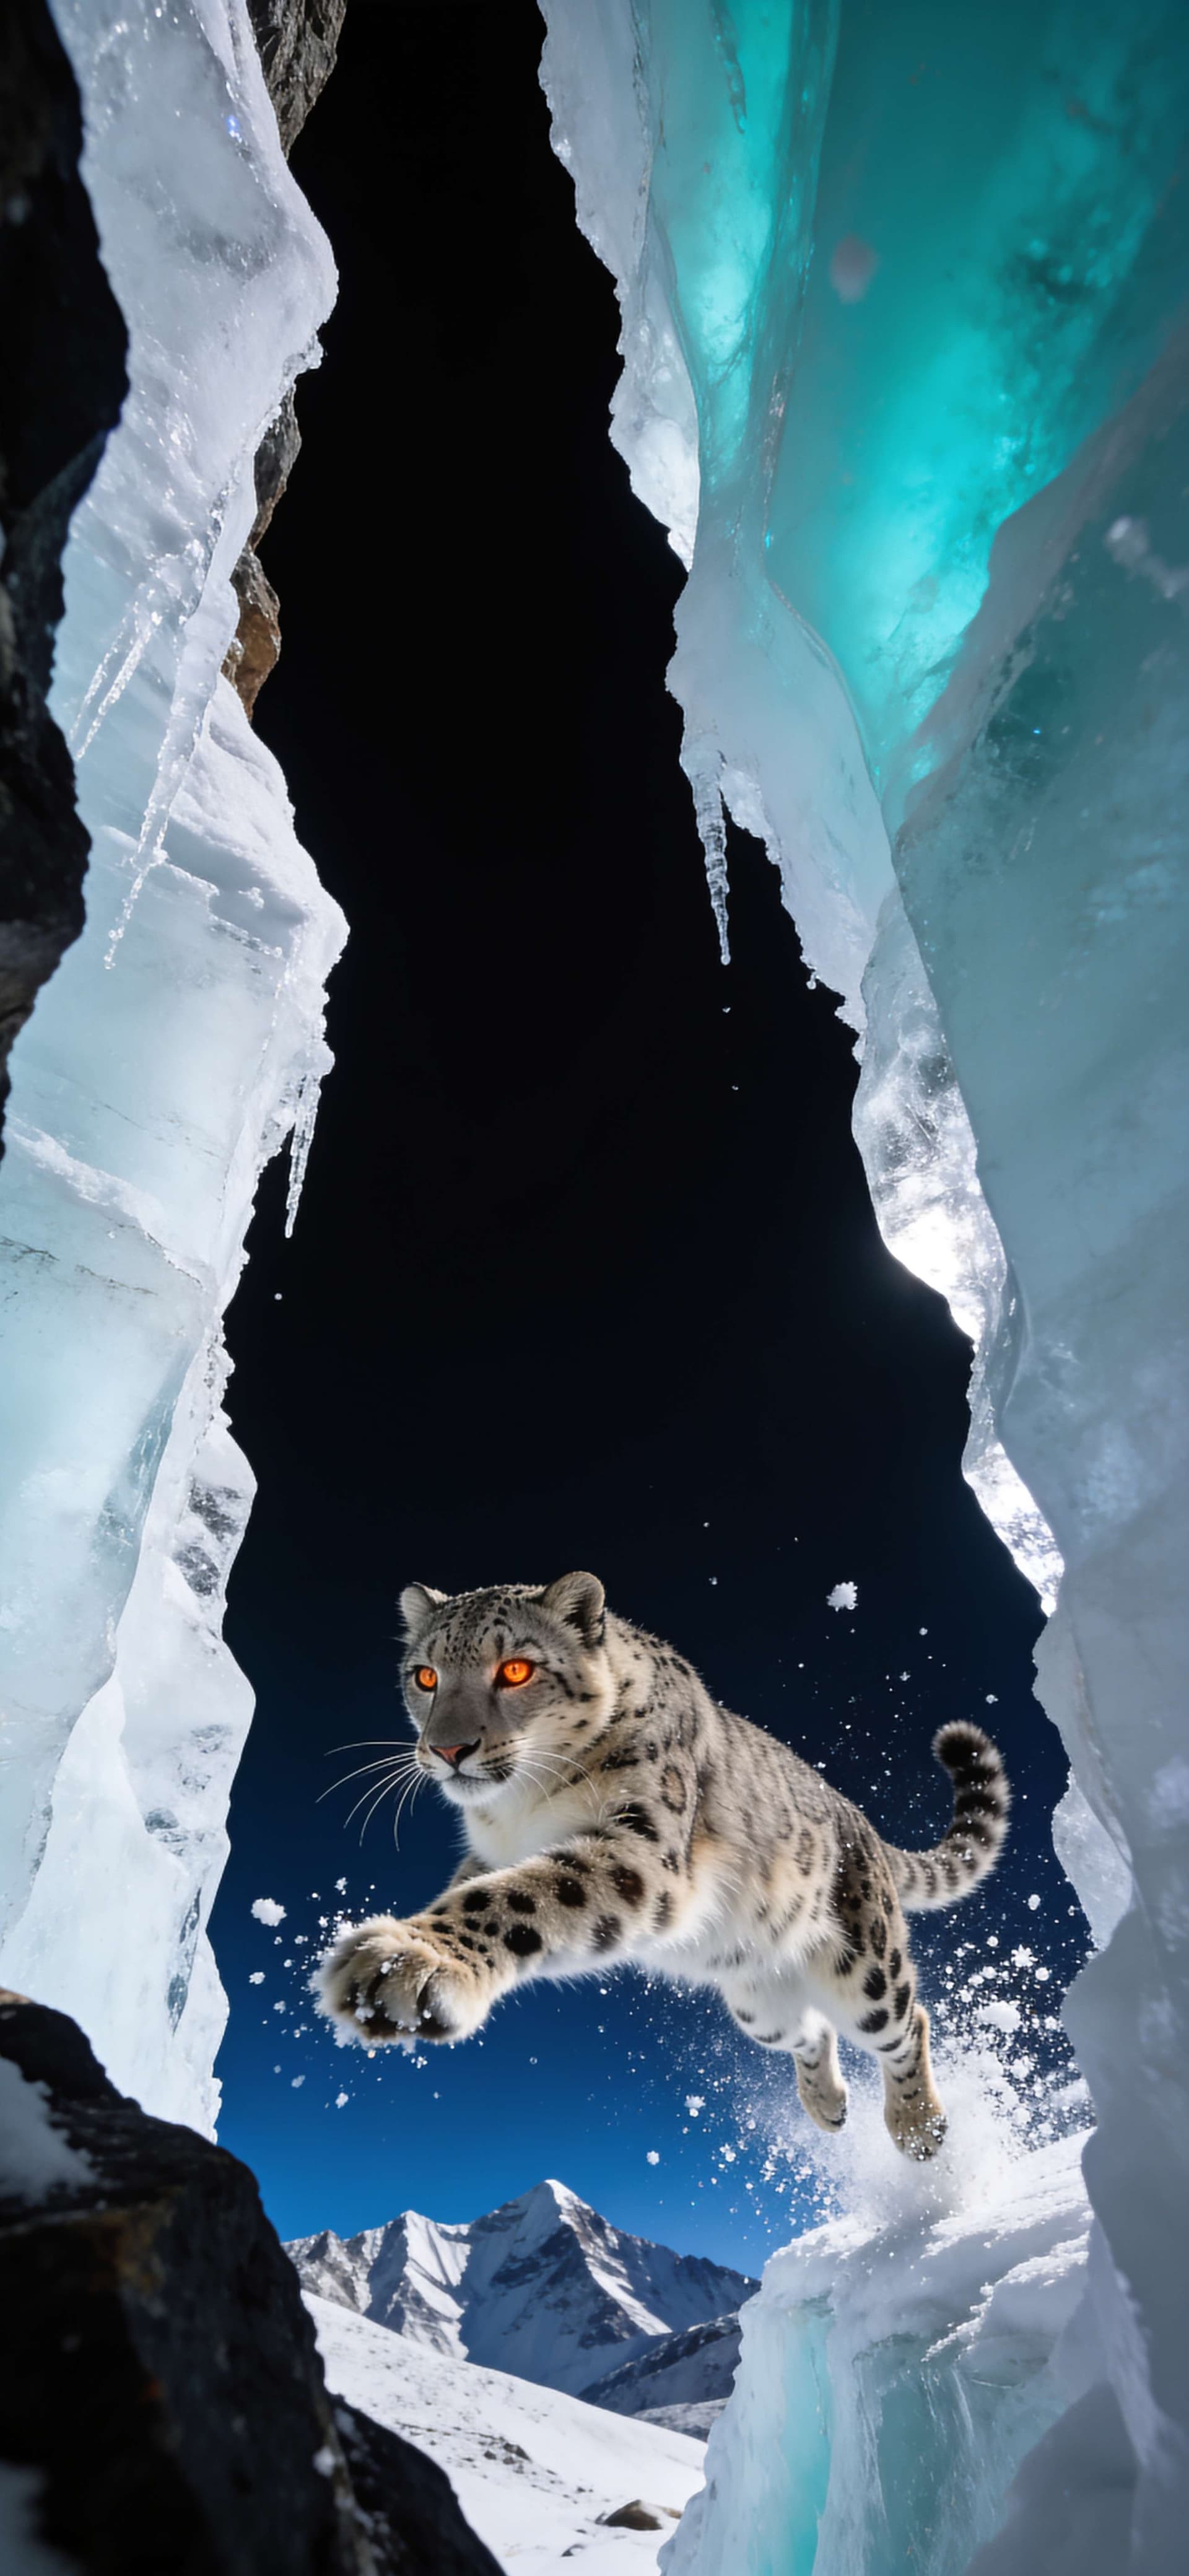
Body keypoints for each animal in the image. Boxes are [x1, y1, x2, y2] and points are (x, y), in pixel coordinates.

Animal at [315, 1573, 1010, 2160]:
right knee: (813, 2032)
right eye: (425, 1676)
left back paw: (919, 2128)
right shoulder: (489, 1855)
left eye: (515, 1669)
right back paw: (829, 2106)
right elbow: (480, 1888)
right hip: (759, 2004)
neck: (519, 1809)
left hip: (864, 1967)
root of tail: (858, 1817)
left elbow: (519, 1895)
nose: (448, 1749)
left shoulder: (642, 1849)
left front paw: (402, 1963)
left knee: (904, 2020)